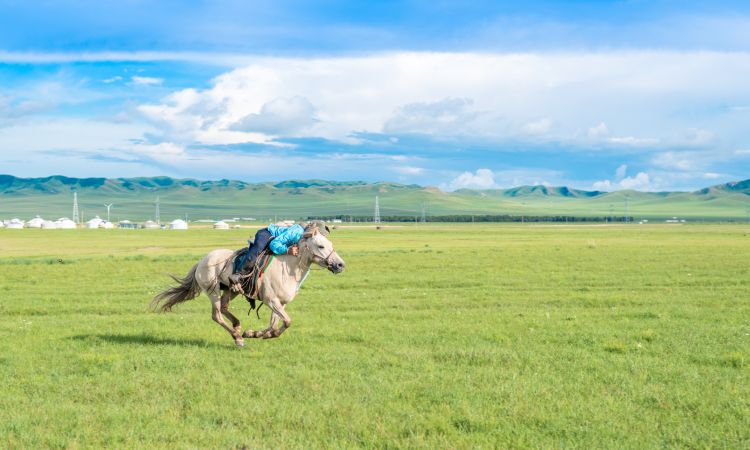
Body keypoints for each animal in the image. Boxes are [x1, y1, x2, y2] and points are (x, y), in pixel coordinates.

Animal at [151, 223, 350, 346]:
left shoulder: (279, 303)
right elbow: (286, 321)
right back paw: (237, 338)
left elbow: (275, 325)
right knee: (217, 315)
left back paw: (238, 328)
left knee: (224, 308)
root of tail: (202, 261)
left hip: (230, 290)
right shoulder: (271, 301)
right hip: (212, 291)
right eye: (321, 246)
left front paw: (256, 333)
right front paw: (254, 334)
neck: (287, 268)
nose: (340, 265)